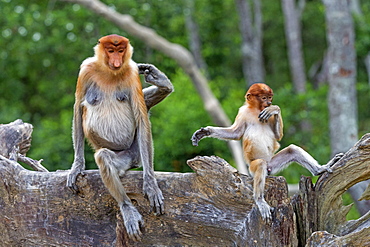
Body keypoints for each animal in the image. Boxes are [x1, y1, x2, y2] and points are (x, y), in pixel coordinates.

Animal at [66, 33, 173, 240]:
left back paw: (163, 83)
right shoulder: (85, 70)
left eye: (120, 50)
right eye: (111, 50)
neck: (109, 72)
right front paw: (76, 167)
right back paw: (127, 207)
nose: (116, 61)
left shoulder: (132, 73)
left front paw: (151, 185)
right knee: (103, 156)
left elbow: (141, 118)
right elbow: (77, 108)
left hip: (133, 152)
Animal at [192, 83, 342, 222]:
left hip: (273, 163)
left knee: (292, 149)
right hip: (253, 167)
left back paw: (320, 169)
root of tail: (269, 167)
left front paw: (274, 109)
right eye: (263, 98)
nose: (269, 103)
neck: (255, 109)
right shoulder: (242, 112)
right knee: (260, 164)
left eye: (270, 98)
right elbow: (235, 133)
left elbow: (278, 136)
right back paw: (260, 201)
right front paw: (205, 132)